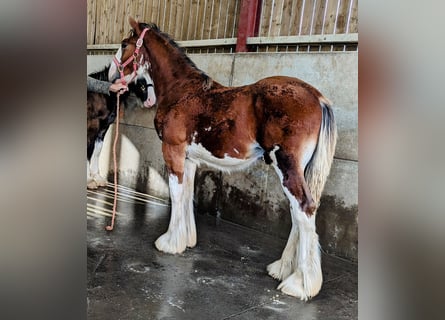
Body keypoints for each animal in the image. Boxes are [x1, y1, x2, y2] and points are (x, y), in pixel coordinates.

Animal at [86, 46, 156, 189]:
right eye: (141, 82)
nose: (151, 101)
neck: (102, 96)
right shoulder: (91, 125)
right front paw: (89, 180)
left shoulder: (104, 127)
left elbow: (97, 150)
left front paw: (97, 178)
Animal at [119, 17, 334, 302]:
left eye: (124, 44)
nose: (112, 75)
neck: (182, 91)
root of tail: (318, 98)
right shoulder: (189, 158)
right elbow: (186, 194)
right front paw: (186, 240)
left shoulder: (173, 151)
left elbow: (176, 194)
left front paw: (169, 243)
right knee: (298, 213)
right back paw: (283, 269)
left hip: (287, 166)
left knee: (304, 208)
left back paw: (300, 284)